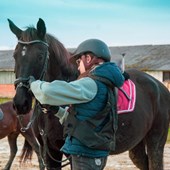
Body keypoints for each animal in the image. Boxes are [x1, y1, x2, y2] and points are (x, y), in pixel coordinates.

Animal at [7, 17, 170, 169]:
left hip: (155, 142)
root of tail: (160, 87)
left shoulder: (71, 155)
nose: (20, 103)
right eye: (15, 56)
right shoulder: (50, 152)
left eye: (40, 56)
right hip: (136, 145)